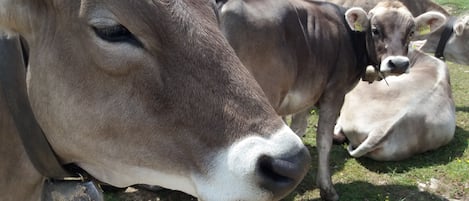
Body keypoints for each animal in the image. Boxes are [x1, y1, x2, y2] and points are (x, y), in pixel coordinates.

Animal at [218, 0, 444, 200]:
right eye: (375, 30)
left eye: (411, 32)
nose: (397, 63)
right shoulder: (334, 93)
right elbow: (324, 140)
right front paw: (327, 189)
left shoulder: (306, 93)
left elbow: (297, 130)